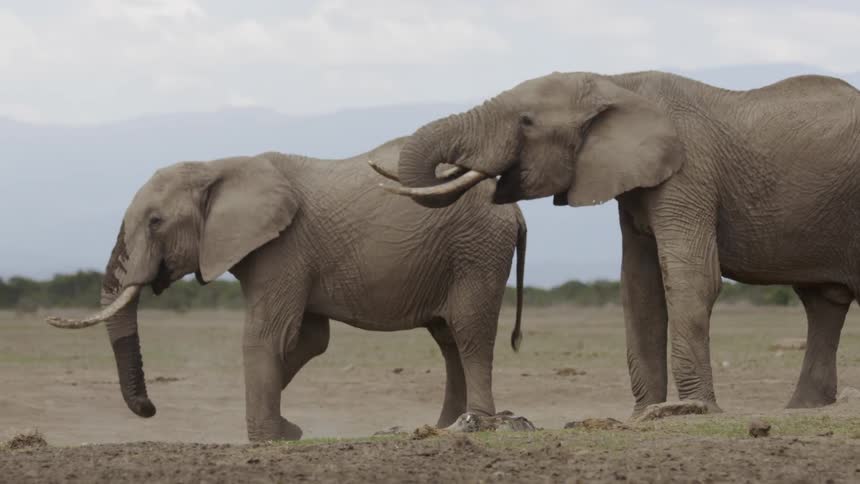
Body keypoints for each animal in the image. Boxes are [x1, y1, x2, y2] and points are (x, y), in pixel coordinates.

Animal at [47, 136, 527, 441]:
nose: (150, 408)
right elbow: (308, 339)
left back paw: (477, 425)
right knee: (448, 339)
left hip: (476, 250)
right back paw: (444, 426)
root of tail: (514, 211)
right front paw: (288, 431)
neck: (219, 166)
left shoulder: (284, 247)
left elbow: (267, 335)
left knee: (469, 332)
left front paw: (266, 439)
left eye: (155, 222)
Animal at [382, 70, 860, 415]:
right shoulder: (635, 184)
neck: (618, 83)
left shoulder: (689, 173)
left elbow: (690, 277)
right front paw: (644, 415)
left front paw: (693, 409)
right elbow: (638, 287)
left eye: (526, 122)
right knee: (823, 302)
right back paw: (803, 408)